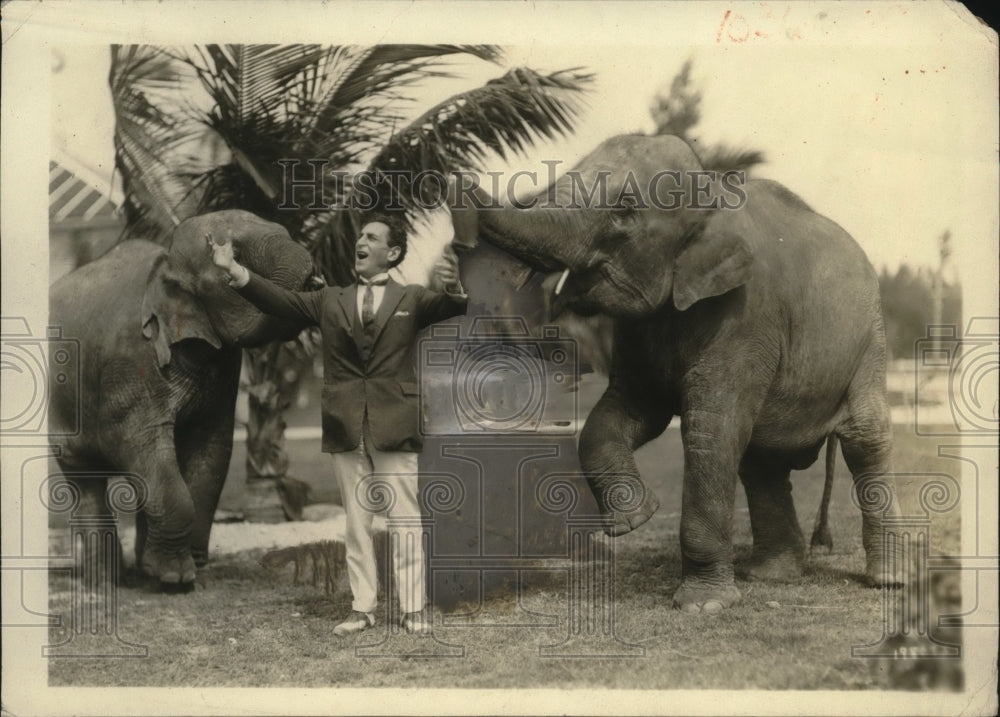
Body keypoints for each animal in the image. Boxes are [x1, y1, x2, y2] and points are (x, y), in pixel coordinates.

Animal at [48, 208, 314, 588]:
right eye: (236, 254)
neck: (166, 263)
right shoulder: (131, 364)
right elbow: (141, 446)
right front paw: (175, 578)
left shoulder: (224, 366)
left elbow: (210, 456)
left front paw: (191, 569)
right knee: (85, 479)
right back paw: (103, 582)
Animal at [450, 137, 896, 612]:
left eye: (625, 211)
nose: (454, 176)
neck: (712, 193)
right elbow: (626, 412)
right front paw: (634, 519)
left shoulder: (745, 317)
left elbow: (710, 432)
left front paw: (703, 606)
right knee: (762, 463)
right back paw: (770, 576)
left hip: (871, 340)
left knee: (865, 438)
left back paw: (888, 580)